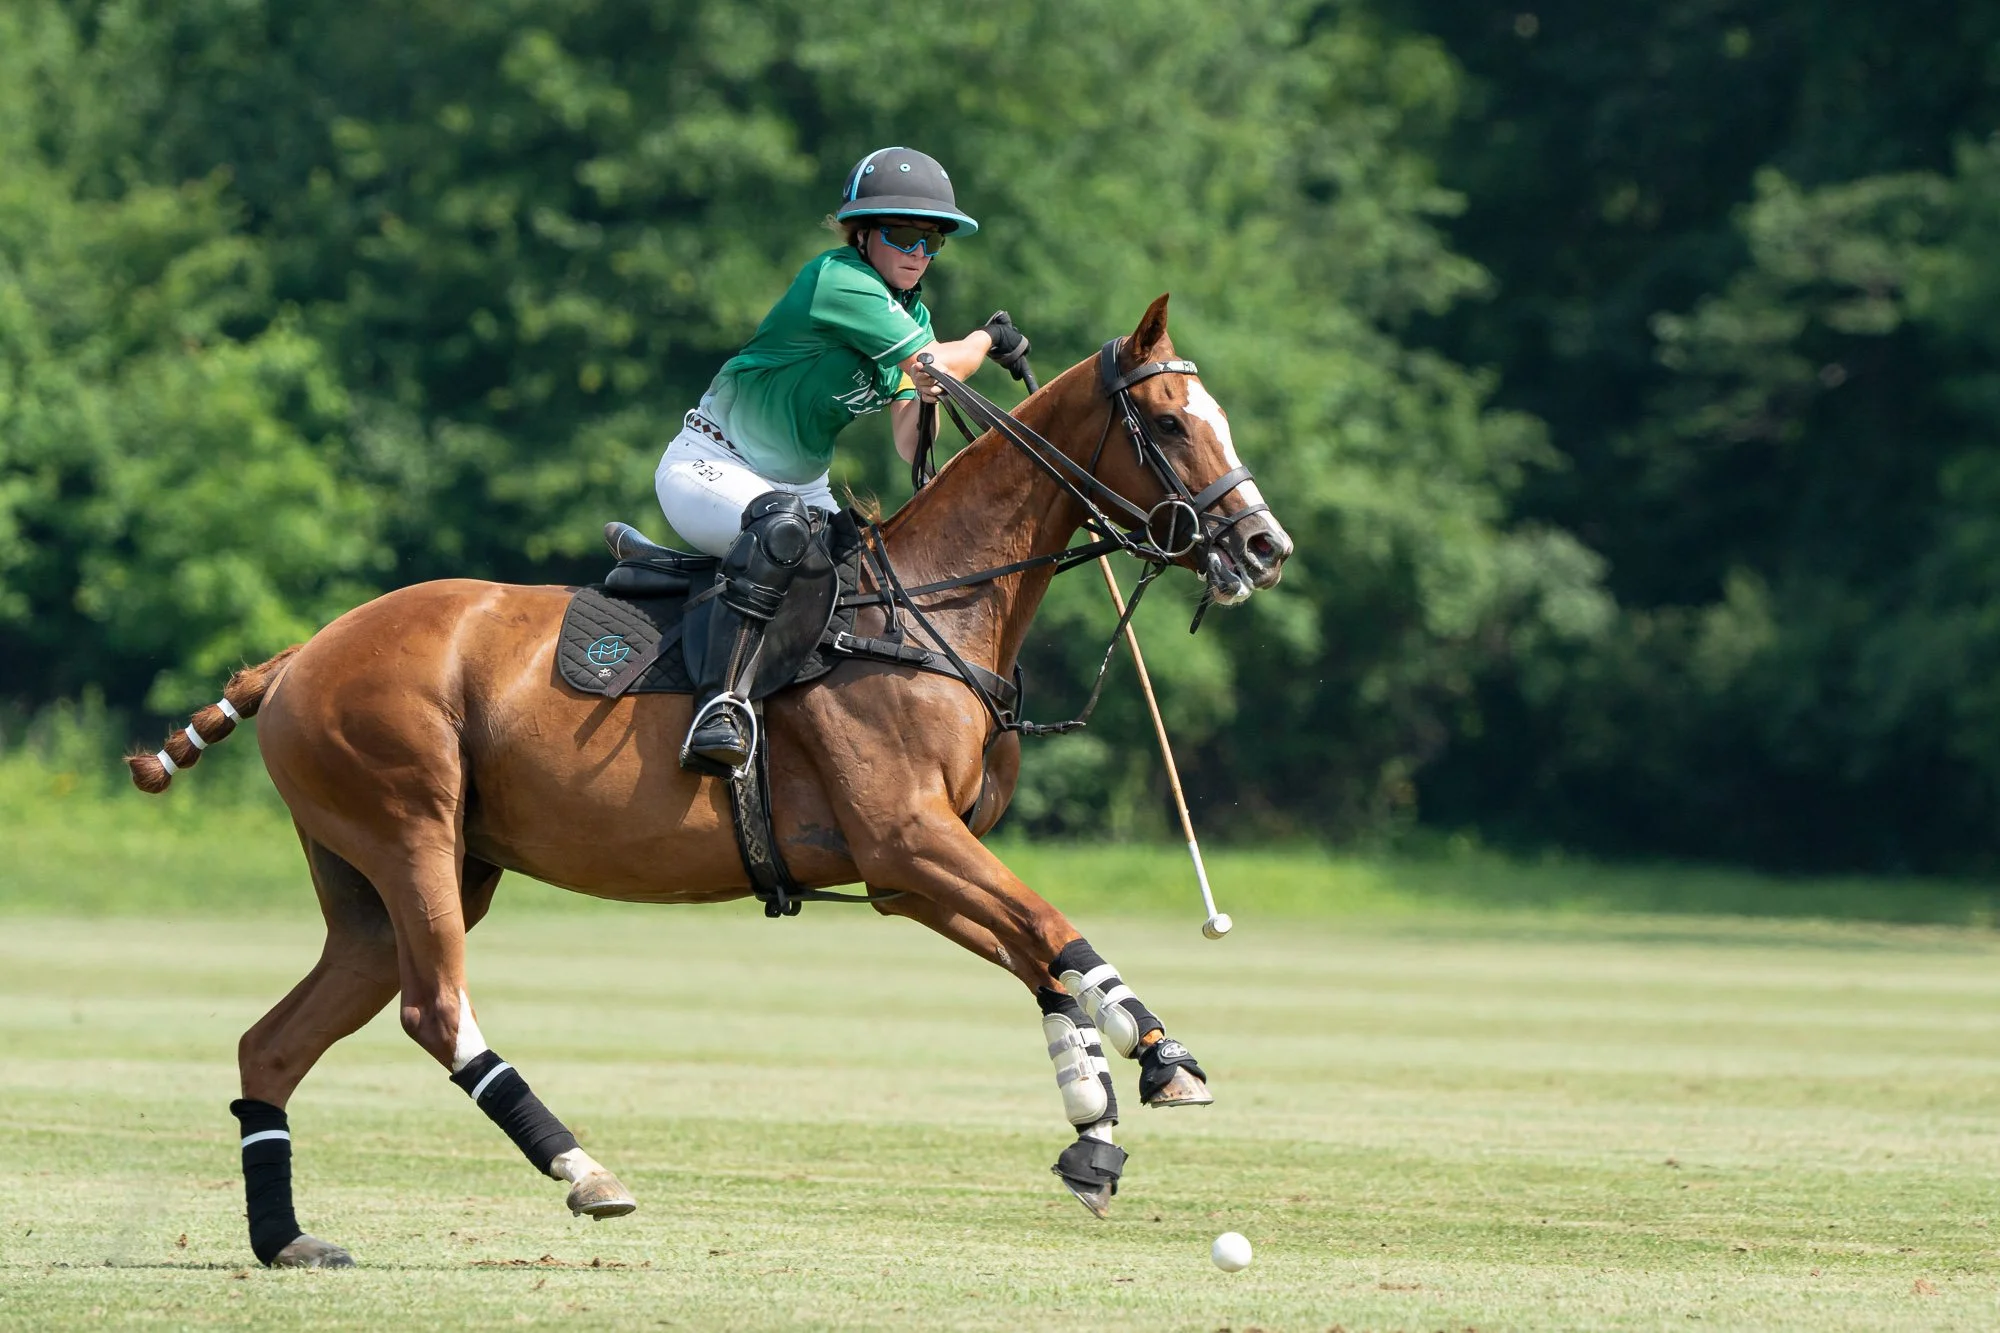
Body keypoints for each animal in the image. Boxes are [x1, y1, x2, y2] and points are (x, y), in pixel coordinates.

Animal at [127, 295, 1294, 1267]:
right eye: (1173, 424)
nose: (1263, 545)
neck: (930, 607)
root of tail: (298, 657)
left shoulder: (901, 873)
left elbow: (1044, 959)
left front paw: (1094, 1132)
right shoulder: (910, 833)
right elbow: (1054, 927)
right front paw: (1166, 1061)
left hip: (395, 877)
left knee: (274, 1042)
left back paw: (286, 1239)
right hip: (406, 823)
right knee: (433, 1008)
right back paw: (584, 1170)